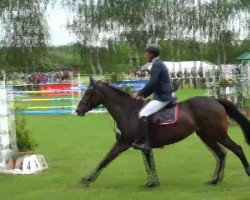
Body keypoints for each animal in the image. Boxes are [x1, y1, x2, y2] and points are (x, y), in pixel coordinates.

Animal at [75, 76, 250, 188]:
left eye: (88, 92)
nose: (78, 110)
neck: (128, 111)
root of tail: (215, 100)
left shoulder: (123, 143)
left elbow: (106, 159)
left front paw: (88, 179)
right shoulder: (139, 145)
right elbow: (148, 162)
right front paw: (153, 182)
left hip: (217, 134)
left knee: (237, 149)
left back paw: (245, 172)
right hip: (207, 136)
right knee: (221, 154)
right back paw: (214, 180)